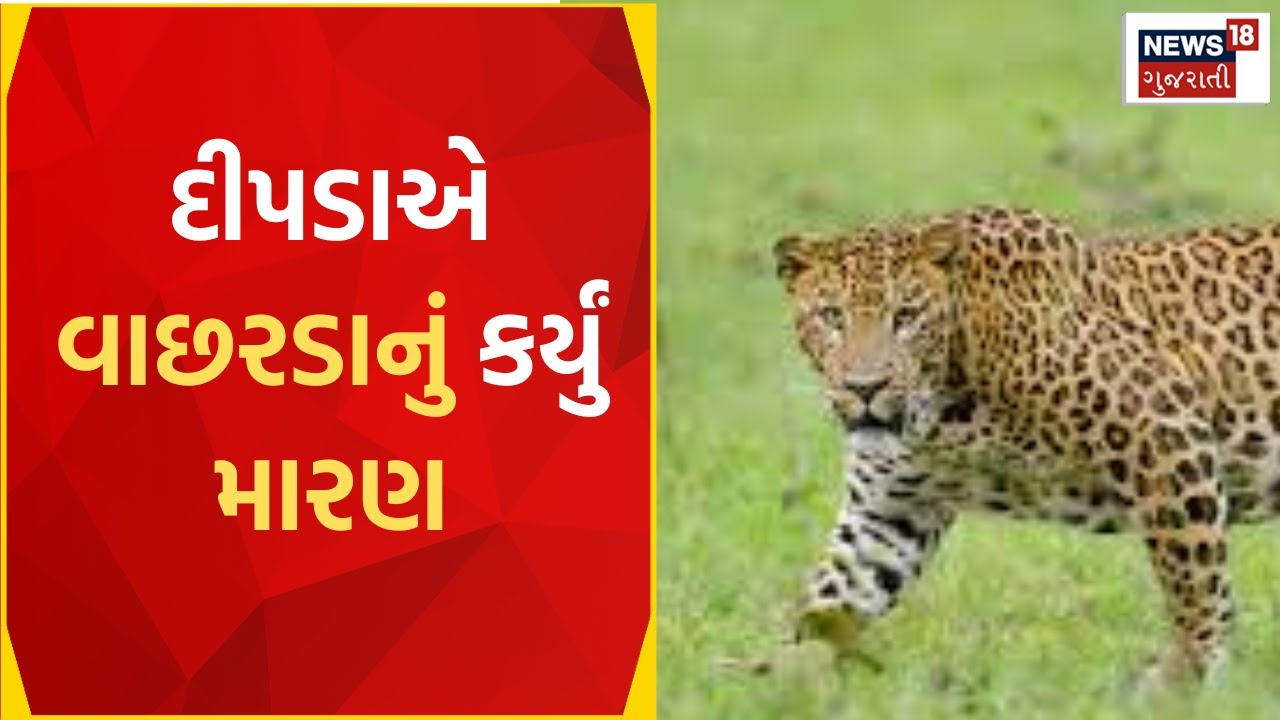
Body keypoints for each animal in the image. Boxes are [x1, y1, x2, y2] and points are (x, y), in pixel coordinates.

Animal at [774, 205, 1280, 685]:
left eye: (906, 317)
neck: (943, 418)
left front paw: (1187, 676)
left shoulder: (1165, 432)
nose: (864, 387)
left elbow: (1193, 578)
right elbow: (831, 599)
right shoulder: (889, 512)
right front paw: (785, 682)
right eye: (831, 317)